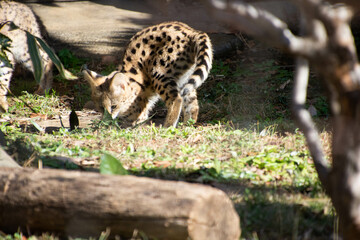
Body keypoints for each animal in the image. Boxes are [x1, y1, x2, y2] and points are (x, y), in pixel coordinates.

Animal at [83, 21, 214, 128]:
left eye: (113, 106)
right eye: (101, 107)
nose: (107, 118)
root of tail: (191, 31)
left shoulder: (139, 108)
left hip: (159, 73)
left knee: (176, 99)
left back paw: (168, 126)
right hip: (184, 79)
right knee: (192, 104)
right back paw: (187, 125)